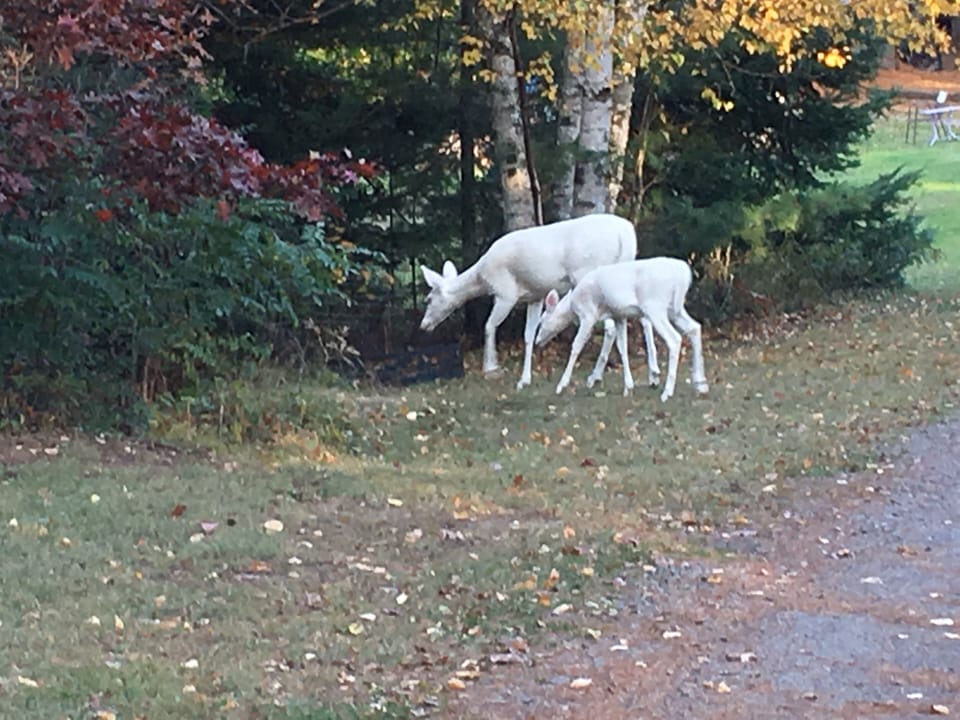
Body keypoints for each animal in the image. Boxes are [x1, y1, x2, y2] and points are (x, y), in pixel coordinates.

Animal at [419, 214, 659, 390]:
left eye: (429, 299)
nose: (423, 325)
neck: (482, 278)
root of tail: (625, 234)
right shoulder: (535, 295)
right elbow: (528, 335)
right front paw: (524, 380)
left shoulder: (505, 292)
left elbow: (489, 326)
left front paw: (491, 367)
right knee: (643, 319)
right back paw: (653, 375)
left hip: (589, 275)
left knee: (609, 327)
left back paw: (595, 377)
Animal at [535, 257, 709, 402]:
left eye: (542, 320)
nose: (537, 341)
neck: (572, 305)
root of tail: (684, 275)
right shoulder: (619, 316)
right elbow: (622, 347)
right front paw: (628, 387)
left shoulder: (588, 314)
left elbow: (576, 346)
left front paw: (561, 385)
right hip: (675, 309)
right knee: (694, 327)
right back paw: (700, 383)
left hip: (655, 306)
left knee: (674, 339)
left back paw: (667, 392)